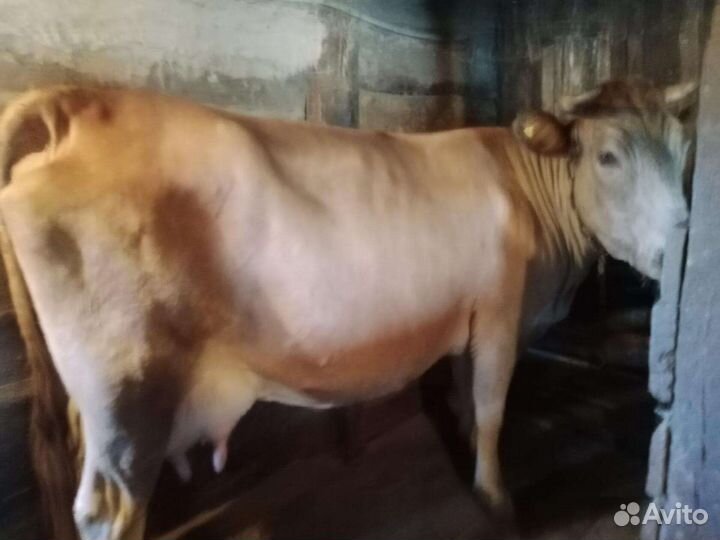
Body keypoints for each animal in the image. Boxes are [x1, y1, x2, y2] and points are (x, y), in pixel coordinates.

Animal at [0, 79, 694, 540]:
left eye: (685, 149)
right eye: (608, 156)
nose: (682, 245)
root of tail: (72, 99)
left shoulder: (470, 319)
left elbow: (467, 397)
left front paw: (466, 447)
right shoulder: (501, 313)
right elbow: (494, 407)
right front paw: (496, 499)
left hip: (91, 402)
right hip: (129, 393)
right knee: (111, 508)